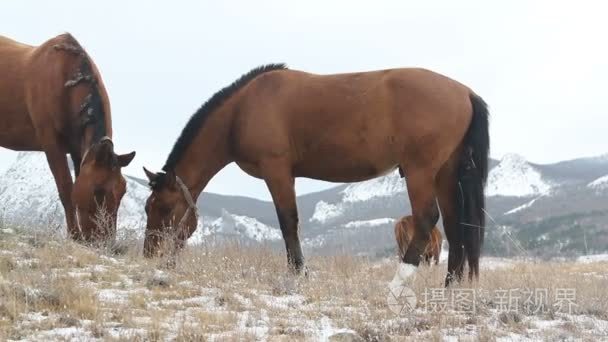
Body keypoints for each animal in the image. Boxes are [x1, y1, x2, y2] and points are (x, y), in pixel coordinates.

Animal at [0, 33, 135, 242]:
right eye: (98, 191)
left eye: (123, 190)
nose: (105, 242)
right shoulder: (52, 144)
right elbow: (65, 188)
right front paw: (74, 234)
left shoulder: (78, 151)